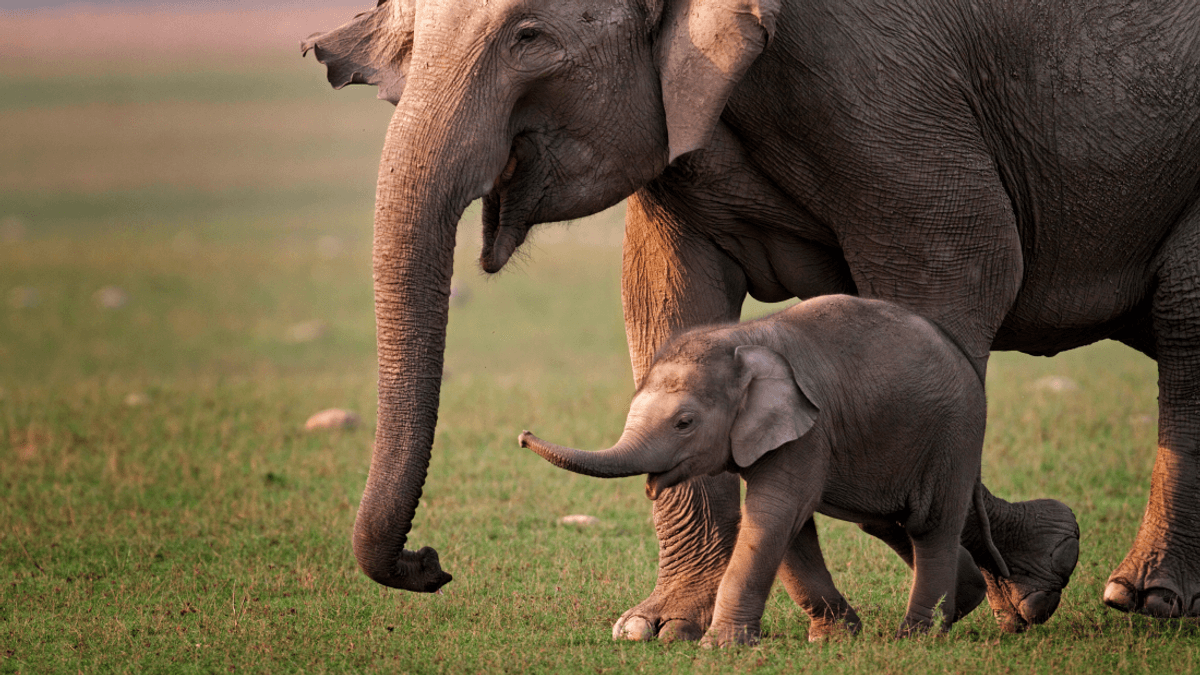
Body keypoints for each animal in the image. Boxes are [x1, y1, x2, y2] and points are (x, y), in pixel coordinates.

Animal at [520, 294, 1013, 644]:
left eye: (685, 423)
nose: (522, 436)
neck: (741, 340)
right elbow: (790, 527)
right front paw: (833, 639)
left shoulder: (808, 429)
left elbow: (774, 512)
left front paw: (720, 647)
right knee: (884, 522)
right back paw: (965, 600)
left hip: (954, 435)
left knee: (929, 525)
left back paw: (915, 637)